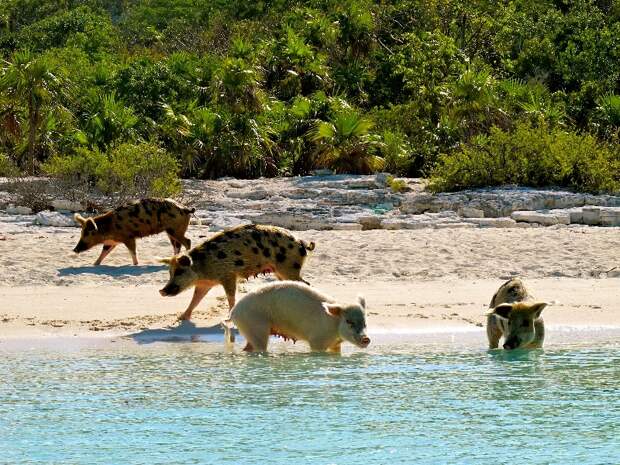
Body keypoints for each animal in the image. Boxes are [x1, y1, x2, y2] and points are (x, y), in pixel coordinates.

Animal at [159, 224, 314, 320]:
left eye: (179, 271)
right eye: (170, 272)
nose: (162, 291)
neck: (203, 267)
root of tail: (301, 243)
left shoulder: (229, 275)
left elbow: (231, 296)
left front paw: (230, 317)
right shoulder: (205, 283)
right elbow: (196, 299)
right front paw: (181, 317)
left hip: (288, 267)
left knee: (306, 284)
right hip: (280, 271)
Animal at [224, 280, 368, 352]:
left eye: (365, 322)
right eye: (349, 321)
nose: (366, 339)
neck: (333, 323)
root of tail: (233, 312)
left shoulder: (335, 344)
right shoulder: (317, 340)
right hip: (255, 326)